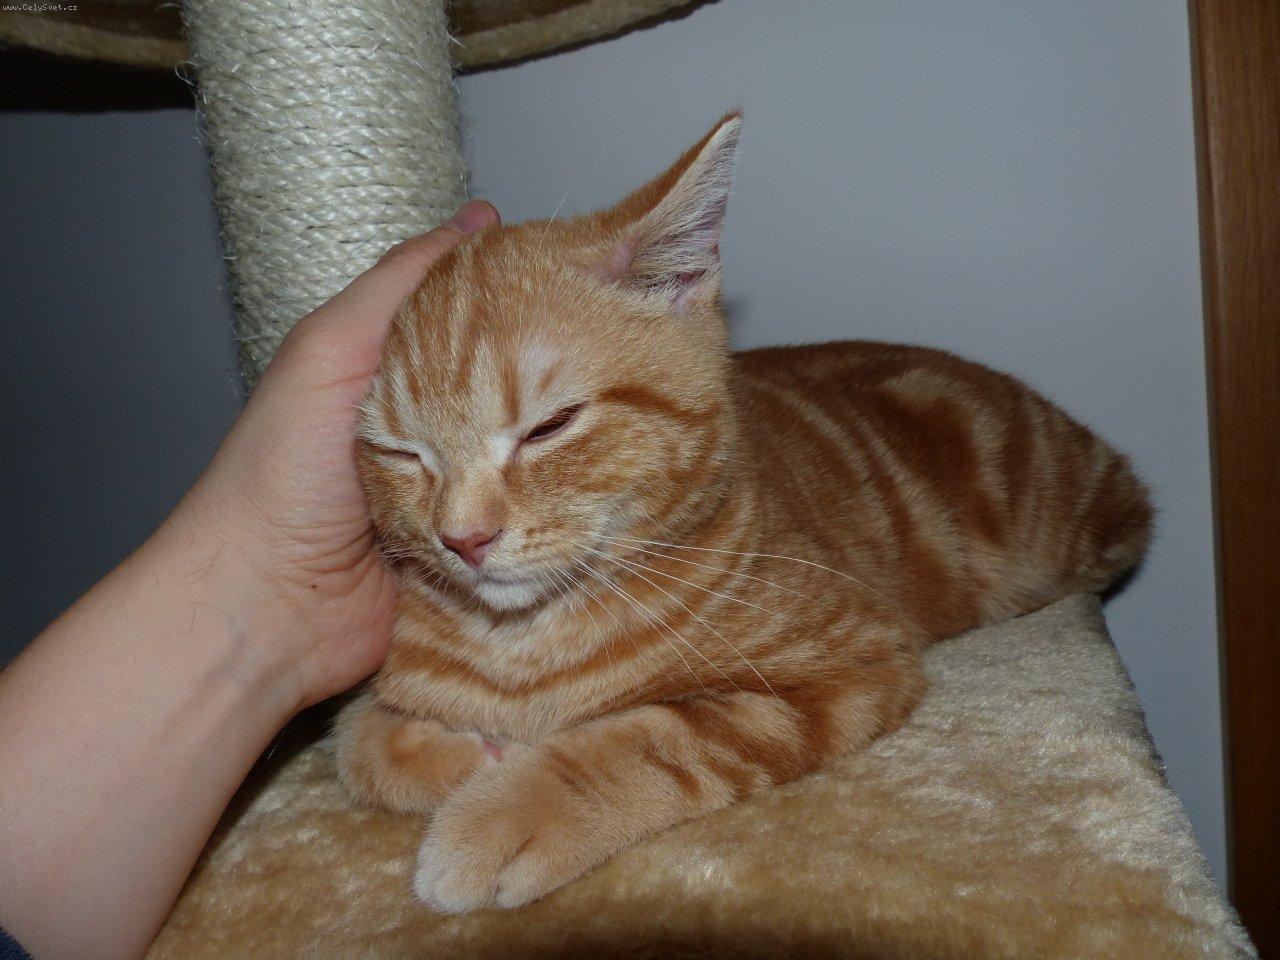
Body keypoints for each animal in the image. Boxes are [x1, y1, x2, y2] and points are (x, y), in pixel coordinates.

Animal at [333, 112, 1152, 913]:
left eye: (549, 427)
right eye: (400, 452)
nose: (464, 539)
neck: (523, 650)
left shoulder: (855, 661)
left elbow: (658, 737)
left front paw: (509, 810)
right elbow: (357, 744)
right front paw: (465, 755)